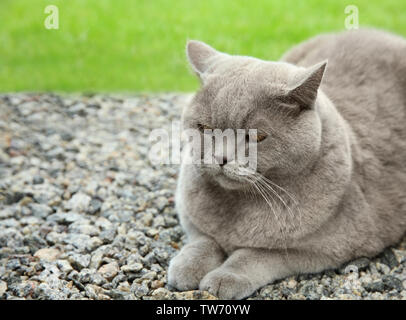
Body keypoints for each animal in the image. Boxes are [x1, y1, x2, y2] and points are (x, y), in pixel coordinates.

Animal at [166, 28, 406, 298]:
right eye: (205, 128)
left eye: (257, 136)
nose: (221, 158)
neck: (237, 206)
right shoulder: (188, 212)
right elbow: (203, 239)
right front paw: (187, 267)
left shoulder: (325, 248)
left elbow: (257, 255)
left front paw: (225, 278)